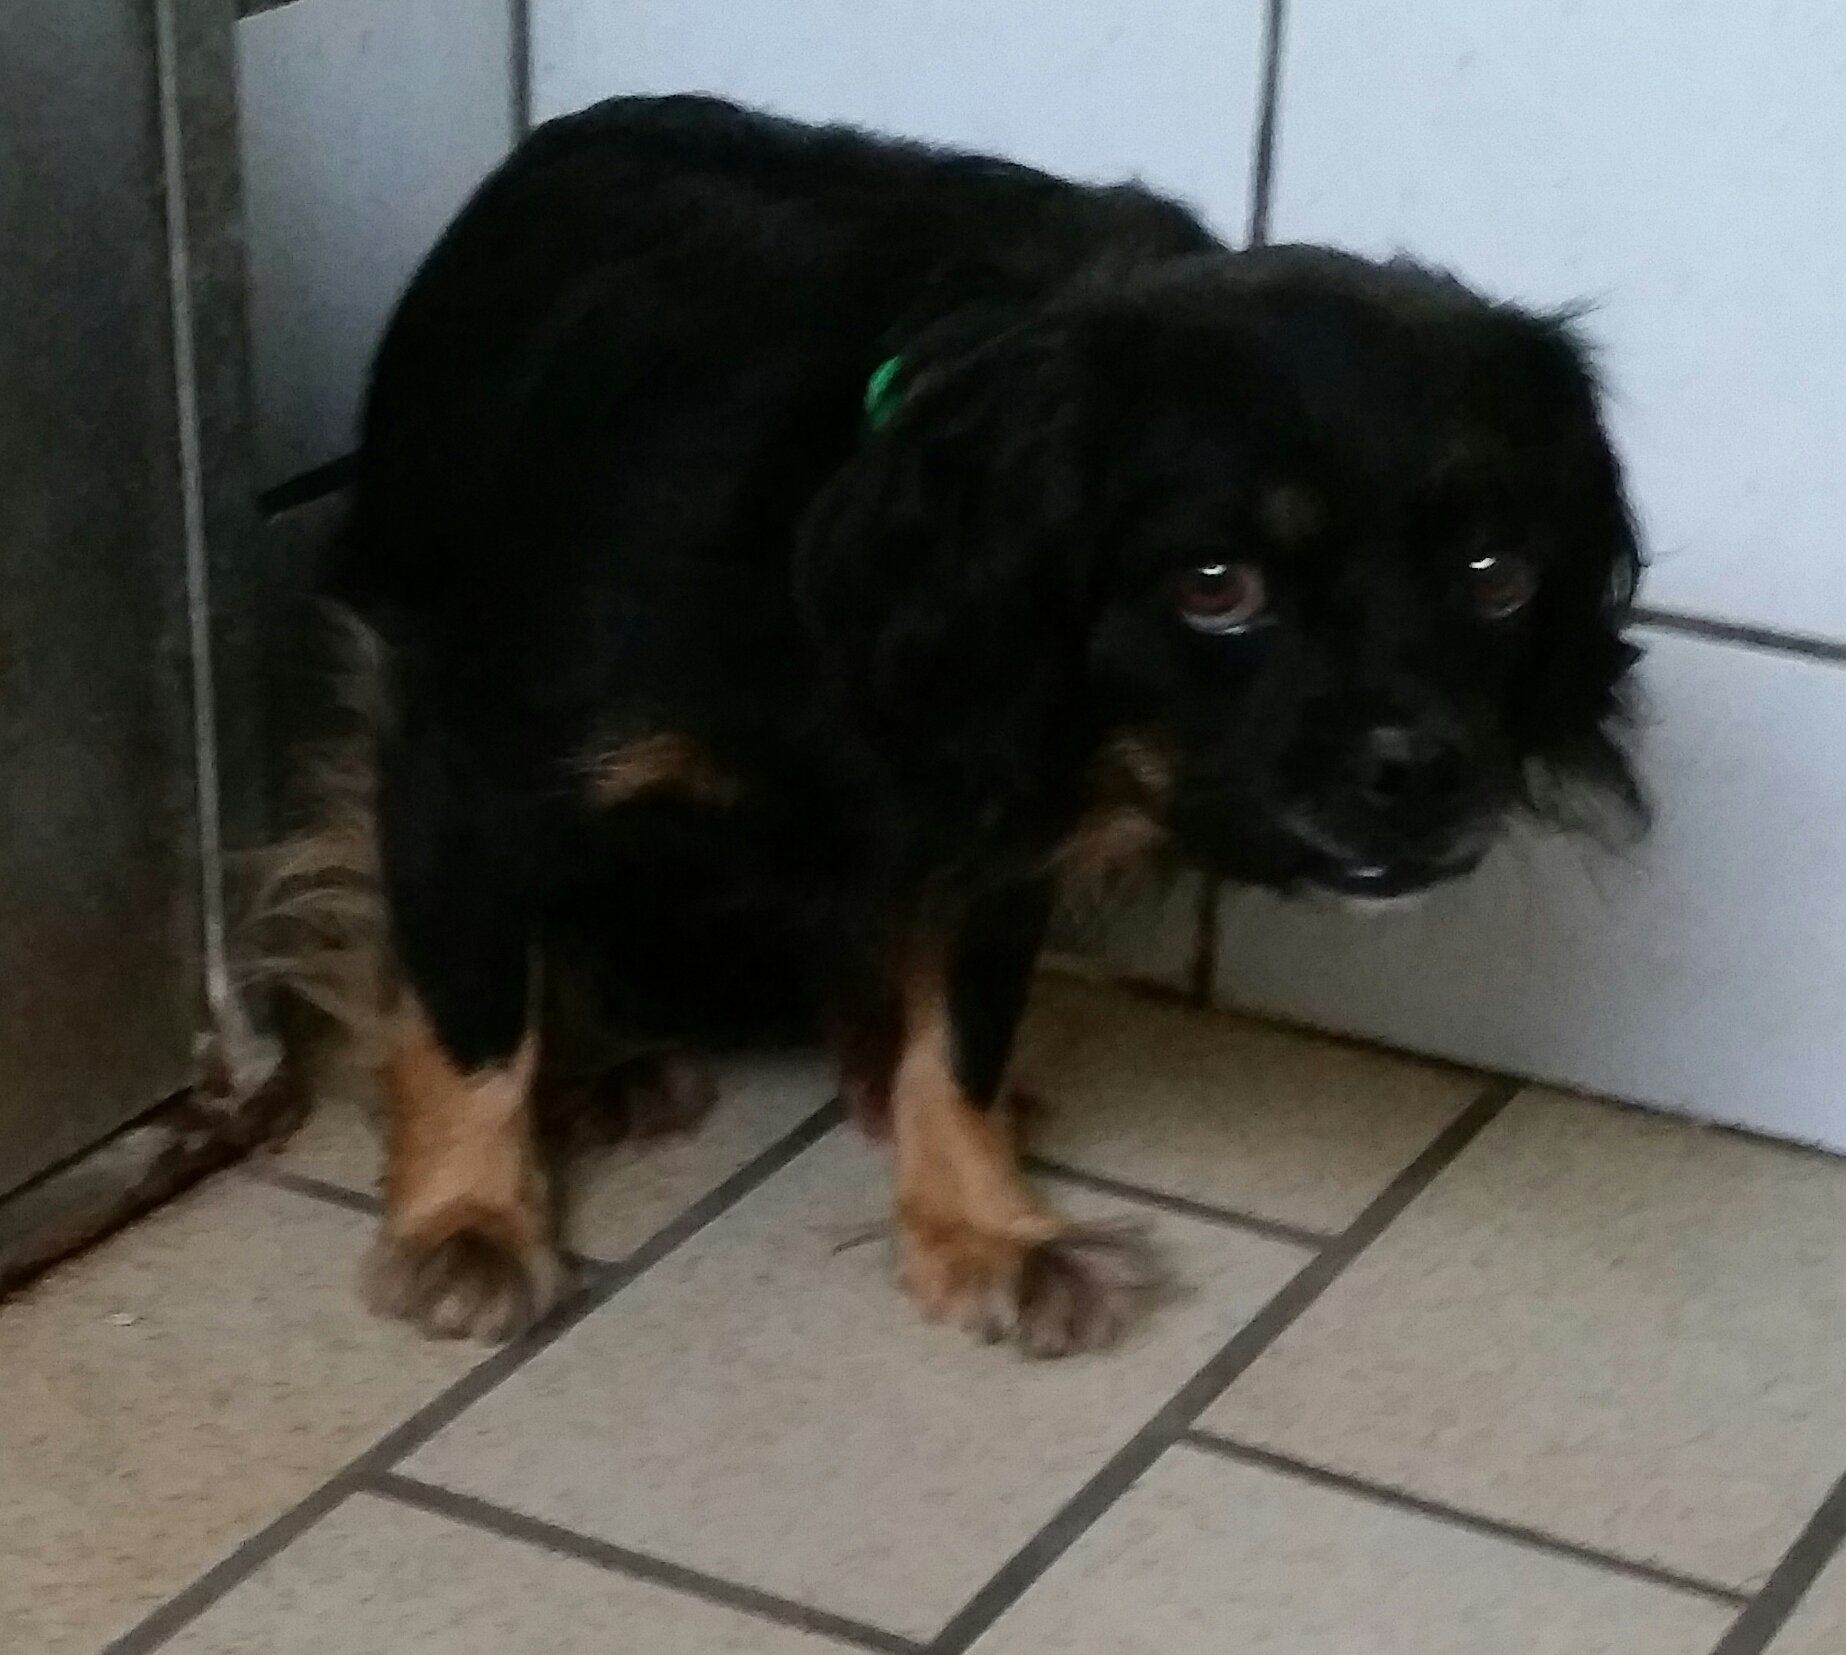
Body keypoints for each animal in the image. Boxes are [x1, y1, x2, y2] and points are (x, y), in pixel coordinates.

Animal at [277, 93, 1641, 1356]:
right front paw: (467, 1214)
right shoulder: (460, 761)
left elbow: (965, 1035)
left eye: (1497, 573)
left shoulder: (996, 828)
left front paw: (984, 1222)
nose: (1425, 772)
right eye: (1214, 585)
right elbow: (467, 1006)